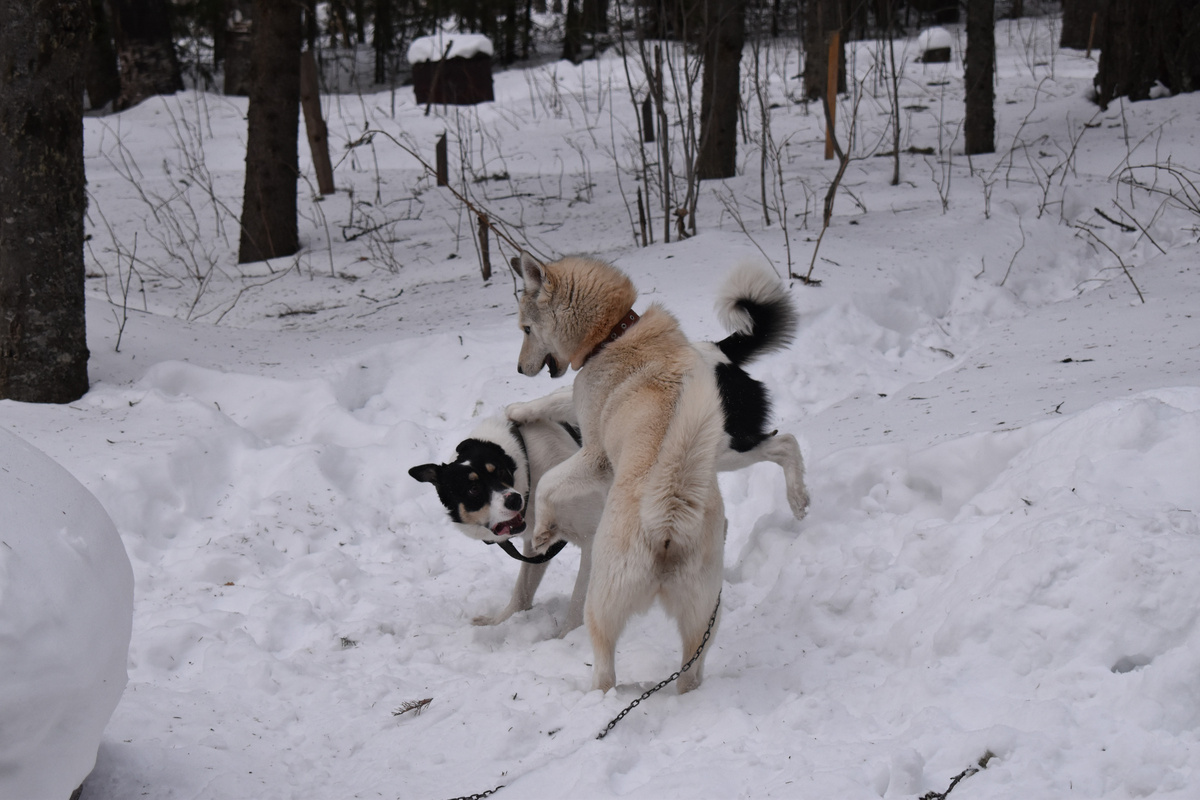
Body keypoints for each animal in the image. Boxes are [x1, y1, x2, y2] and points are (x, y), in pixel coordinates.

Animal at [408, 266, 811, 633]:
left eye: (500, 474)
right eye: (473, 489)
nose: (511, 500)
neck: (524, 462)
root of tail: (717, 349)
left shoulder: (590, 538)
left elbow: (576, 602)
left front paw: (564, 639)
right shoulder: (538, 547)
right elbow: (521, 593)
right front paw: (497, 623)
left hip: (718, 447)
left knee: (785, 442)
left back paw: (796, 498)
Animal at [513, 253, 724, 690]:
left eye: (526, 328)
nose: (519, 369)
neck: (613, 332)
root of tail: (668, 520)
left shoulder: (595, 455)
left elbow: (547, 482)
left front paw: (542, 530)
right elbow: (554, 402)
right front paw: (517, 410)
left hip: (601, 600)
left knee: (606, 669)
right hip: (704, 618)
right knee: (689, 672)